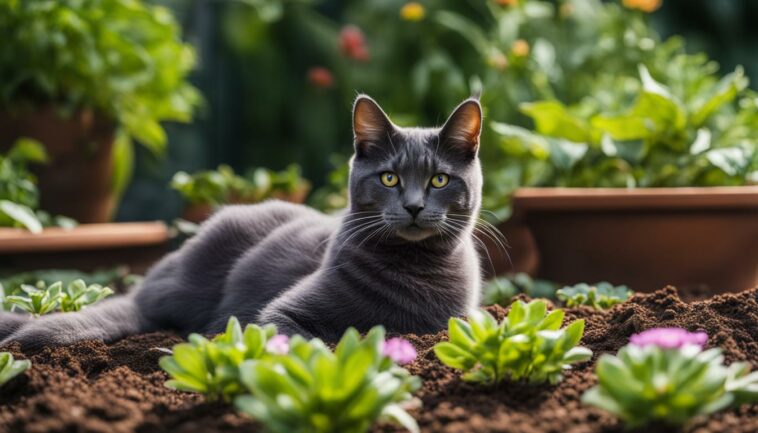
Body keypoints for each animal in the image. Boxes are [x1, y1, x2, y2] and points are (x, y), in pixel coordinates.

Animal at [0, 96, 484, 350]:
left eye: (439, 179)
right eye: (389, 178)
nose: (414, 206)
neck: (413, 271)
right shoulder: (278, 314)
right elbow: (314, 341)